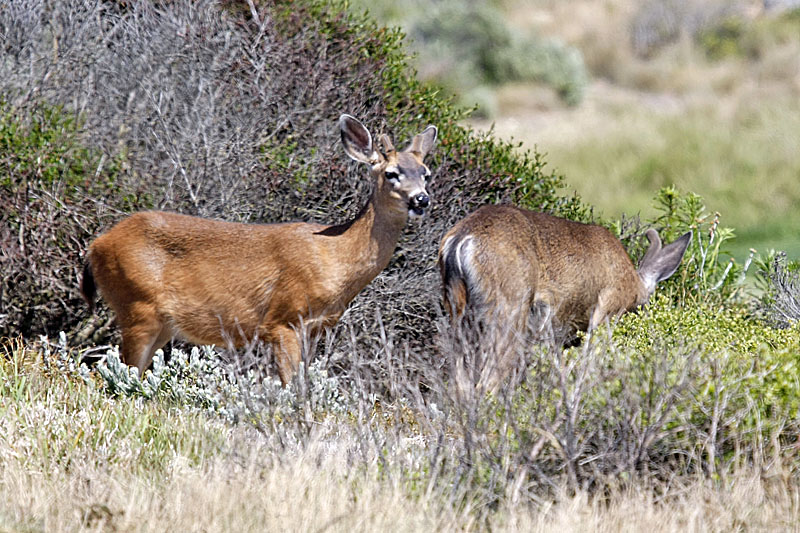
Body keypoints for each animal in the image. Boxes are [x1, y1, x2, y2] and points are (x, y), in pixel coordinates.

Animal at [81, 115, 438, 382]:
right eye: (392, 173)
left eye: (426, 173)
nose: (422, 200)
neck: (336, 255)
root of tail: (96, 246)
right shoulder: (283, 319)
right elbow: (292, 385)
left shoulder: (315, 329)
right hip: (137, 304)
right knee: (123, 372)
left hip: (161, 322)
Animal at [438, 204, 688, 386]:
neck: (633, 283)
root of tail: (461, 240)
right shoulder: (606, 310)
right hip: (510, 306)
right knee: (488, 381)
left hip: (456, 310)